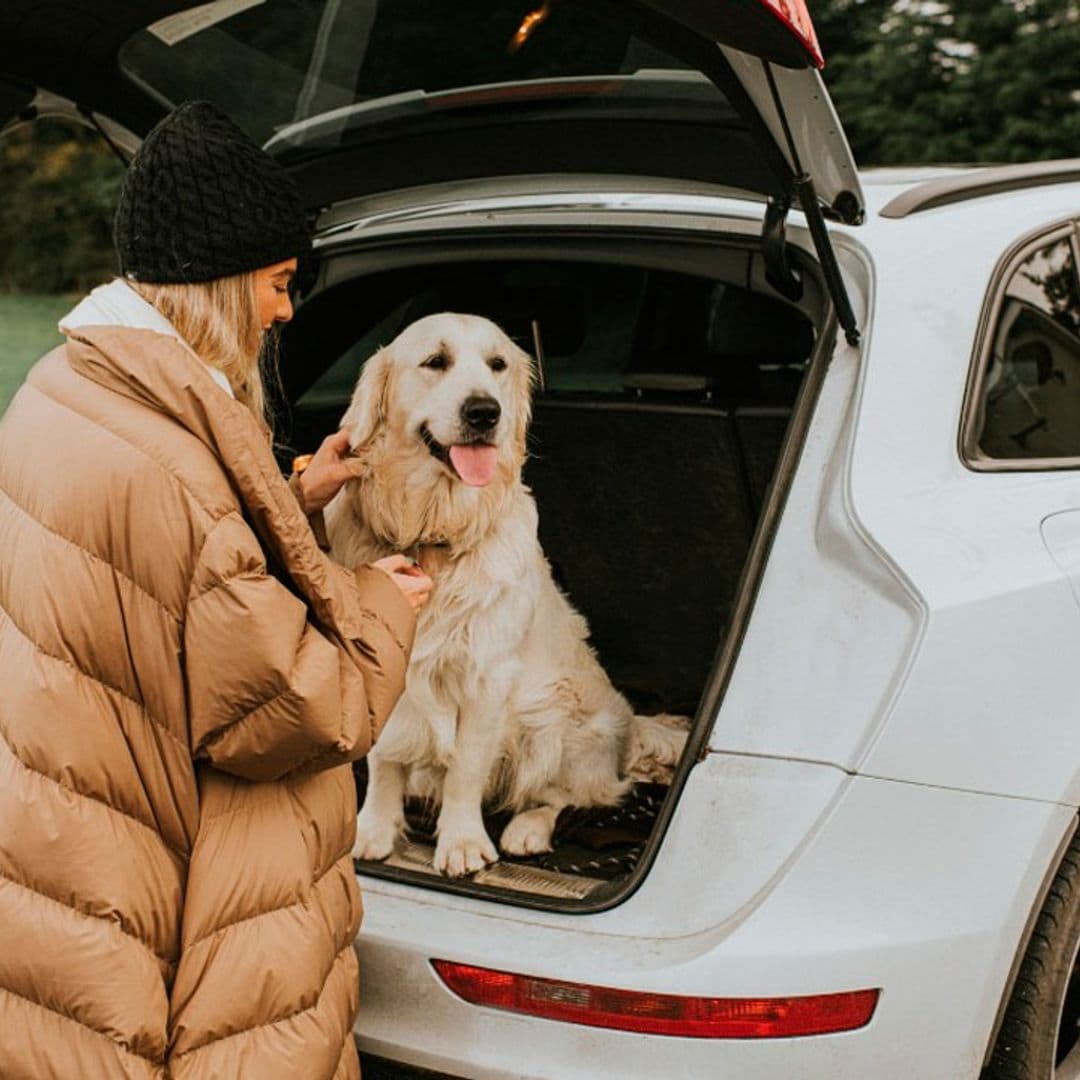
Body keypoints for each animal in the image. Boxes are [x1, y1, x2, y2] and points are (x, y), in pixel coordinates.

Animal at [324, 313, 686, 876]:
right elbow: (383, 755)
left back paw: (527, 829)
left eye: (497, 364)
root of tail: (631, 726)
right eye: (436, 361)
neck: (434, 529)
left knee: (573, 797)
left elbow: (467, 768)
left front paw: (463, 843)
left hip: (558, 720)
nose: (484, 412)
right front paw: (374, 830)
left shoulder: (487, 675)